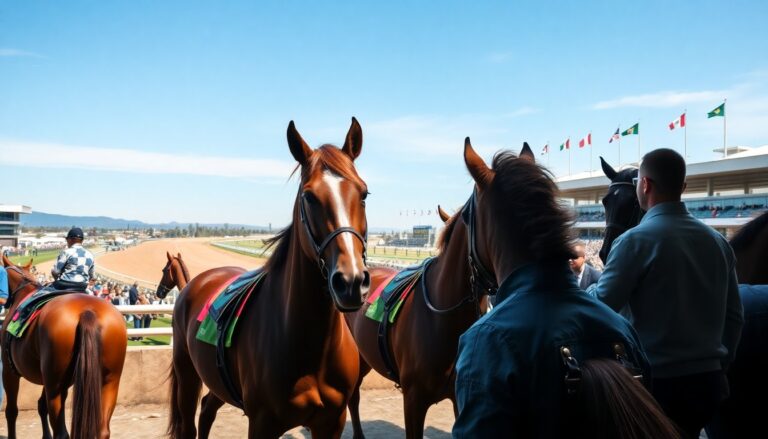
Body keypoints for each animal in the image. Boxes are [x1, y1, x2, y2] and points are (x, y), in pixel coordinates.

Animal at [1, 255, 127, 439]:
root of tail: (87, 311)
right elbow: (41, 406)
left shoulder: (9, 371)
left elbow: (11, 411)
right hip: (110, 380)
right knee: (103, 430)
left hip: (55, 384)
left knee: (61, 432)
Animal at [167, 118, 370, 439]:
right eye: (309, 196)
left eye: (363, 194)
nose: (350, 282)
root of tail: (192, 285)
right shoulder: (262, 422)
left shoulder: (332, 421)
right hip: (187, 374)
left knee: (208, 409)